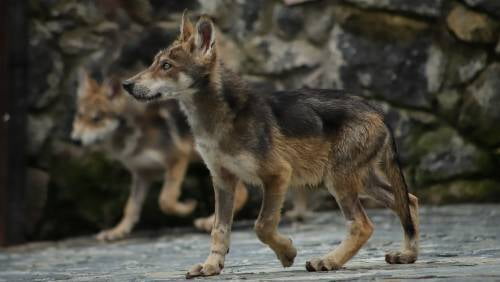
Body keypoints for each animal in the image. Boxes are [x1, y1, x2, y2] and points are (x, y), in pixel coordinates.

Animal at [70, 69, 250, 240]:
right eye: (79, 115)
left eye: (96, 119)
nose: (75, 141)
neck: (132, 132)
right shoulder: (142, 174)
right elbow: (131, 207)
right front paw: (117, 232)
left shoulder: (177, 160)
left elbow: (166, 200)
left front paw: (187, 208)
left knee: (241, 194)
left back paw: (207, 222)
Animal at [123, 13, 420, 278]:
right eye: (153, 63)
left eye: (166, 66)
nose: (126, 84)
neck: (216, 121)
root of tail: (377, 109)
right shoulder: (222, 181)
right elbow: (219, 230)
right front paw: (211, 266)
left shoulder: (277, 175)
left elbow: (262, 226)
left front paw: (287, 253)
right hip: (362, 182)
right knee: (409, 202)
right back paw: (407, 255)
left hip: (339, 181)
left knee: (363, 224)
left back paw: (327, 261)